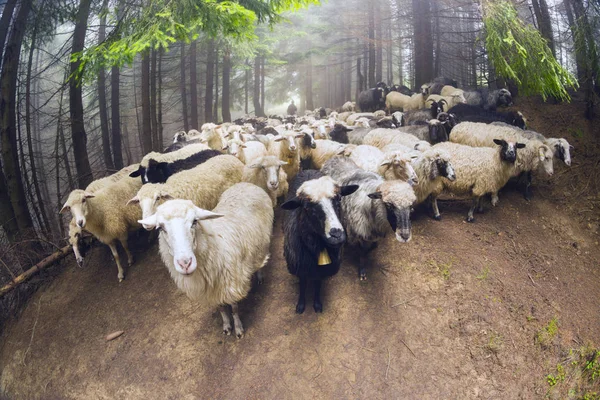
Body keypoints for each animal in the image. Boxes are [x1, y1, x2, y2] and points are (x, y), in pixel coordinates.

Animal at [138, 184, 272, 338]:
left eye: (194, 221)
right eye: (160, 228)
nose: (185, 264)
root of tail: (245, 184)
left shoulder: (231, 284)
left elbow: (234, 309)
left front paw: (238, 329)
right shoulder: (210, 291)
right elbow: (221, 309)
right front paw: (227, 326)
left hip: (263, 241)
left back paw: (260, 275)